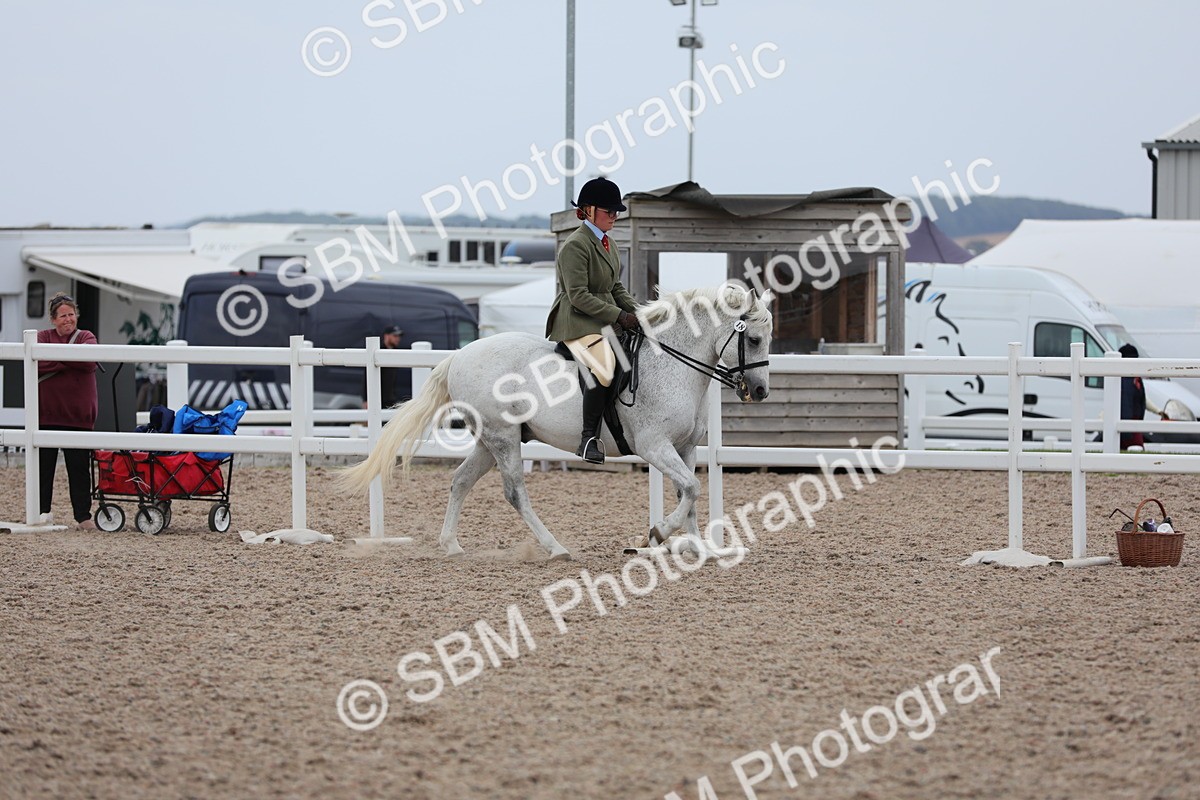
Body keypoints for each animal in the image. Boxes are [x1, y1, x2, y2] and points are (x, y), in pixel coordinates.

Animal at [337, 284, 775, 559]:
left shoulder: (685, 447)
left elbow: (691, 495)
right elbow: (692, 489)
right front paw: (659, 533)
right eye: (753, 339)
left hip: (490, 440)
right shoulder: (654, 446)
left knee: (460, 480)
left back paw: (453, 546)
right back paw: (555, 548)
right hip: (503, 438)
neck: (671, 363)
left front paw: (700, 549)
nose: (760, 390)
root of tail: (459, 355)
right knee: (515, 492)